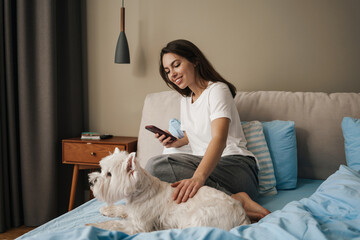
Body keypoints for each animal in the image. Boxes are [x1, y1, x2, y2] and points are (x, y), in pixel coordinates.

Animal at [88, 148, 250, 234]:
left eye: (109, 174)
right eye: (102, 170)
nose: (91, 182)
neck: (142, 192)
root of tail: (242, 215)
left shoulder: (139, 226)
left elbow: (114, 224)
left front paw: (93, 226)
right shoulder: (133, 211)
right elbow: (122, 209)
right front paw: (106, 209)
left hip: (200, 216)